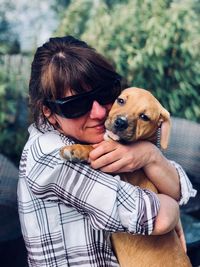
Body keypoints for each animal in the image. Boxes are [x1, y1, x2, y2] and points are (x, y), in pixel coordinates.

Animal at [60, 88, 191, 267]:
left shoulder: (123, 174)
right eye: (121, 101)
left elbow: (96, 148)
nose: (121, 122)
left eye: (144, 117)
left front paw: (77, 149)